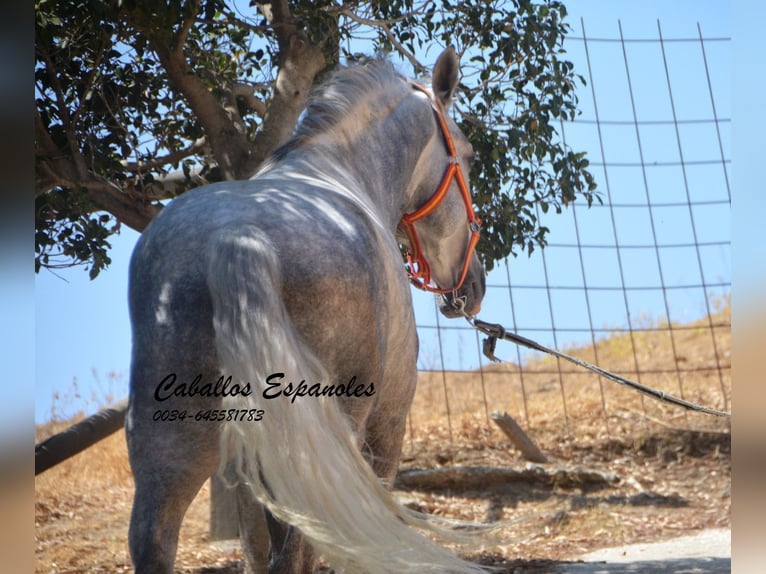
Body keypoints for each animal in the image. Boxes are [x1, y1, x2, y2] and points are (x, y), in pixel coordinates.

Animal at [126, 47, 486, 572]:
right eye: (470, 155)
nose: (472, 285)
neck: (336, 168)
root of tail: (236, 237)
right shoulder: (387, 422)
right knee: (299, 550)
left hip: (171, 444)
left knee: (156, 540)